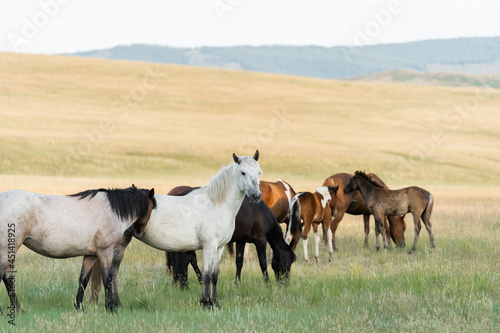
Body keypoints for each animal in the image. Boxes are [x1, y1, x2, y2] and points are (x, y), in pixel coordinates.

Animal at [0, 184, 156, 312]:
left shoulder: (91, 255)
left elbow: (83, 280)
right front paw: (111, 308)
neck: (113, 211)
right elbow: (108, 279)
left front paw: (79, 308)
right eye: (152, 208)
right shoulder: (106, 252)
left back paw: (19, 310)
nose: (141, 232)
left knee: (7, 277)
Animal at [85, 150, 262, 306]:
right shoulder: (208, 246)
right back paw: (115, 304)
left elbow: (214, 275)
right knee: (113, 272)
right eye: (243, 173)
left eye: (259, 173)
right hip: (119, 244)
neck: (216, 204)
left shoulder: (219, 247)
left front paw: (215, 302)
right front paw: (205, 303)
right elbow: (206, 275)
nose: (256, 196)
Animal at [166, 185, 296, 284]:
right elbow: (263, 263)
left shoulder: (241, 241)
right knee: (188, 259)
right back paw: (191, 283)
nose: (285, 283)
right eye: (288, 262)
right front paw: (267, 283)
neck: (261, 213)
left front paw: (237, 282)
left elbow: (239, 262)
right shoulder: (261, 241)